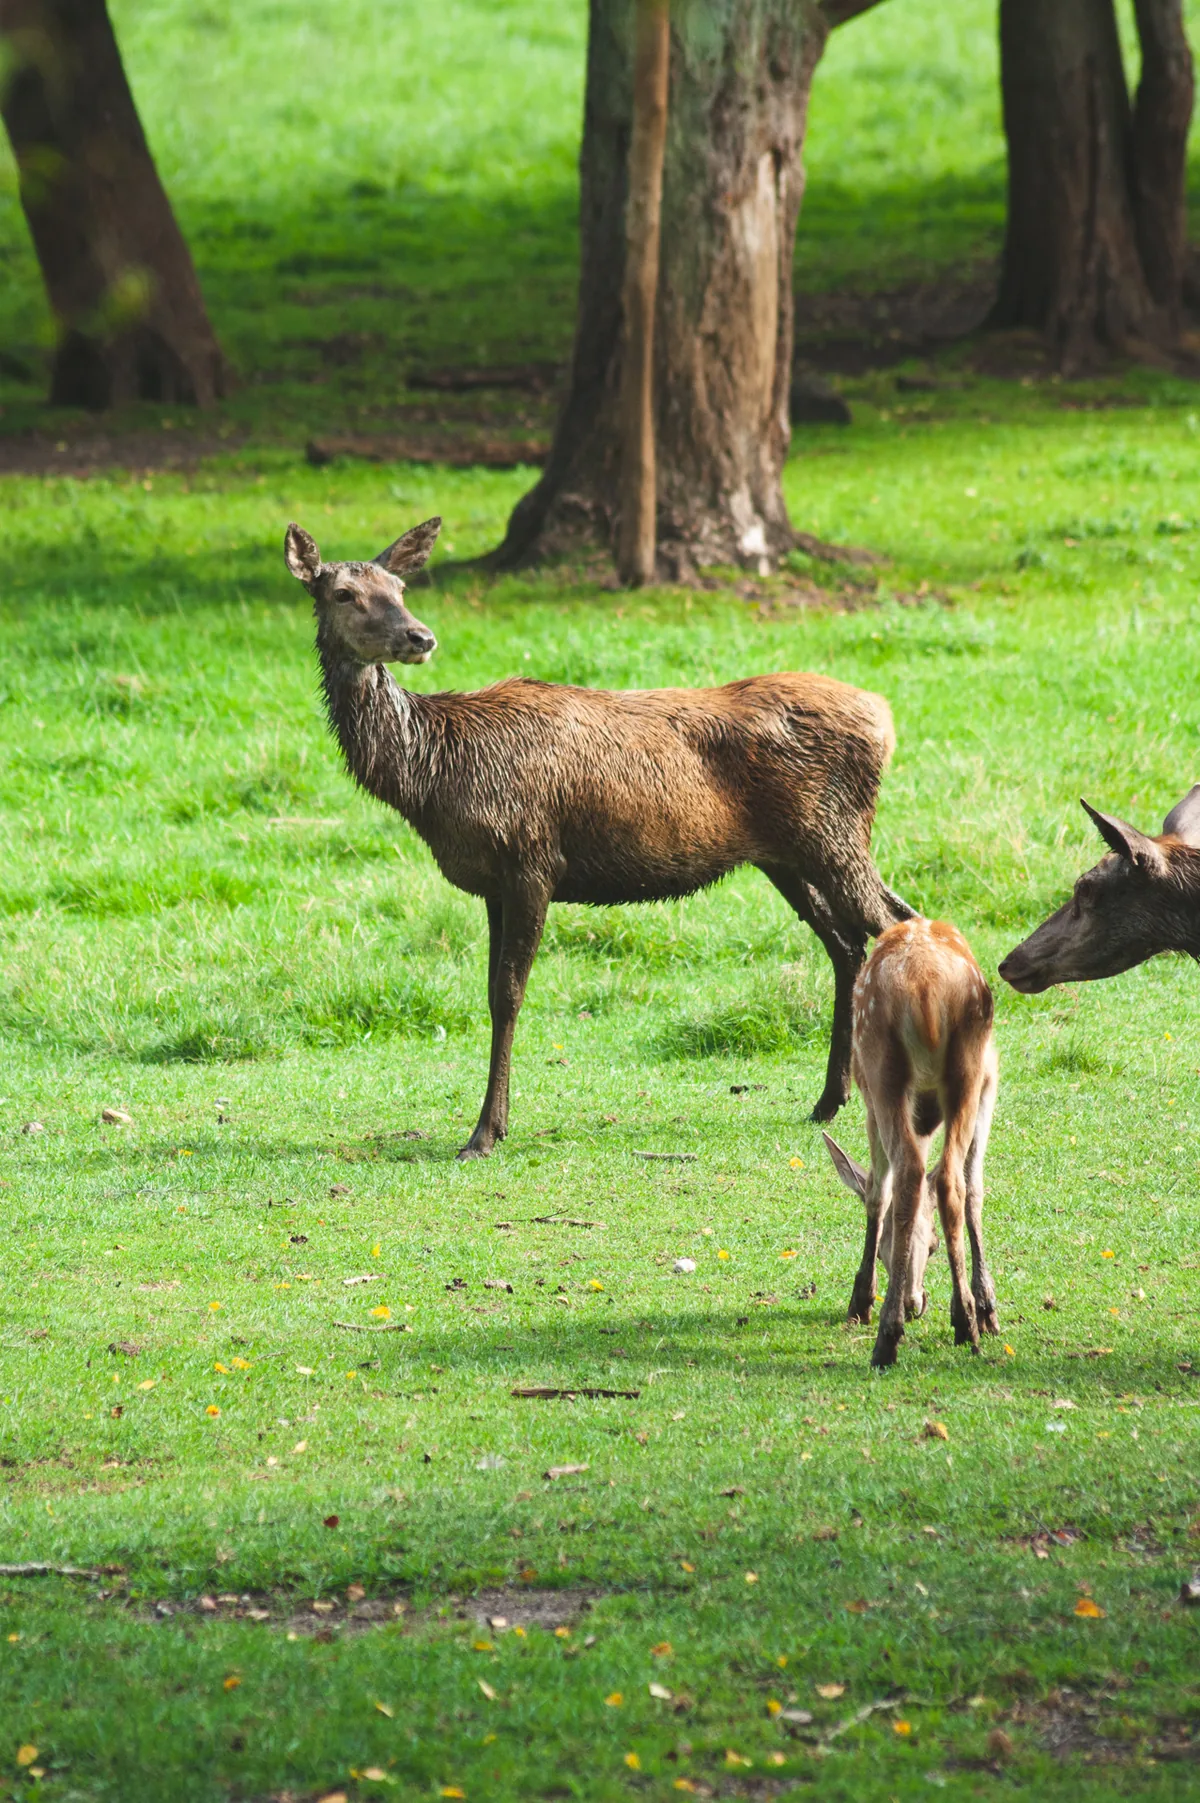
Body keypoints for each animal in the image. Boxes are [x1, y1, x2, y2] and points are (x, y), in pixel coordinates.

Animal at [284, 516, 914, 1161]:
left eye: (400, 587)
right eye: (344, 594)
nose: (419, 637)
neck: (433, 778)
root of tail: (885, 718)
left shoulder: (531, 859)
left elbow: (507, 993)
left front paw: (483, 1134)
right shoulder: (492, 883)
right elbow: (488, 992)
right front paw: (494, 1124)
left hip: (831, 834)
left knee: (893, 924)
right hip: (789, 855)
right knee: (851, 943)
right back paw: (828, 1100)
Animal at [822, 917, 999, 1369]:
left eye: (931, 1247)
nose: (914, 1302)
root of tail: (925, 990)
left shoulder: (867, 1100)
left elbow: (873, 1192)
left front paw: (861, 1299)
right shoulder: (991, 1080)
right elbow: (974, 1186)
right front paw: (984, 1308)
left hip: (882, 1069)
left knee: (906, 1177)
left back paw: (888, 1336)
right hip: (968, 1069)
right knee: (950, 1179)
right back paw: (967, 1323)